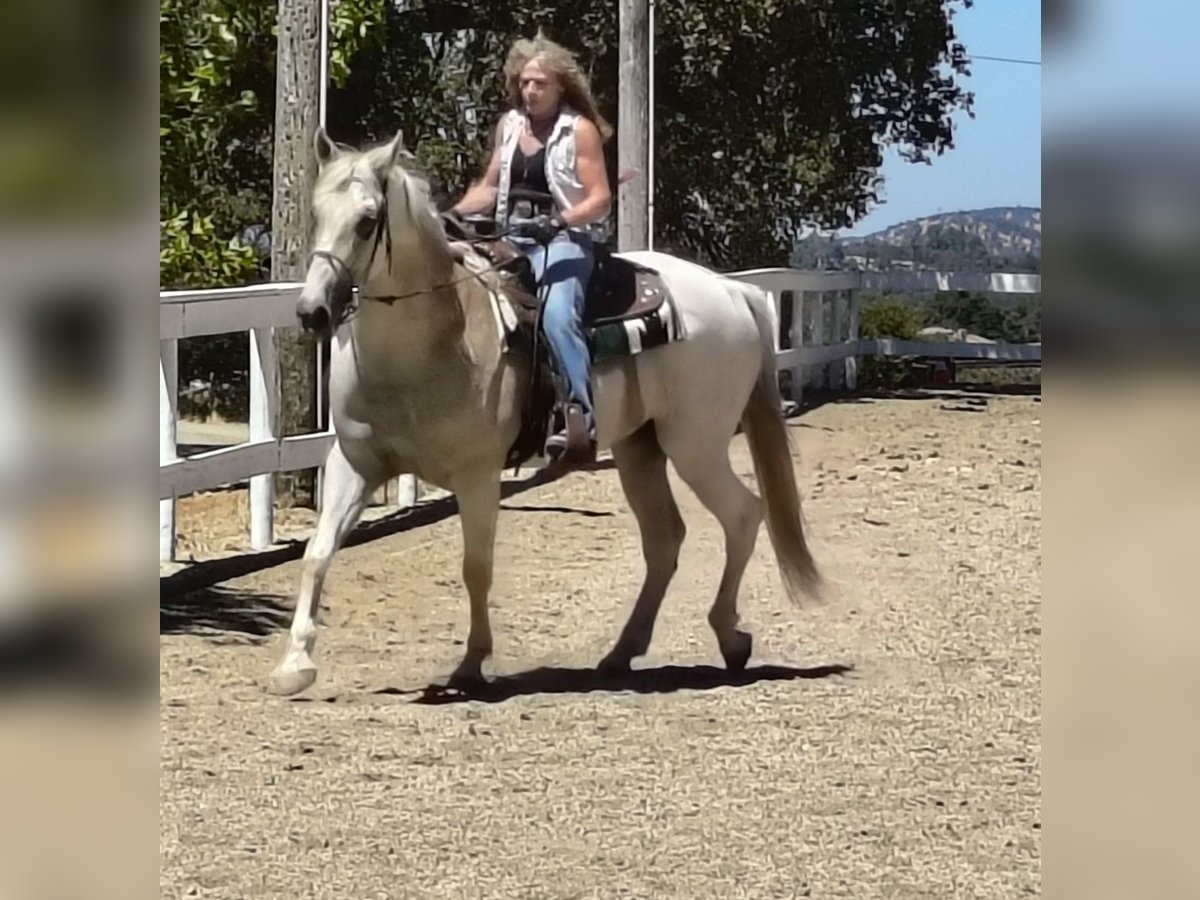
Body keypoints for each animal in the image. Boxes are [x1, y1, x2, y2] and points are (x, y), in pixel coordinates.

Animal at [267, 126, 823, 696]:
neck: (431, 343)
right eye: (316, 212)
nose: (312, 311)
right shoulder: (352, 463)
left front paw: (472, 663)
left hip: (696, 446)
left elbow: (476, 567)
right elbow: (317, 554)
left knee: (743, 514)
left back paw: (729, 636)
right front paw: (295, 665)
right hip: (639, 448)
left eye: (368, 219)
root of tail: (731, 289)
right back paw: (622, 652)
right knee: (665, 539)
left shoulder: (478, 476)